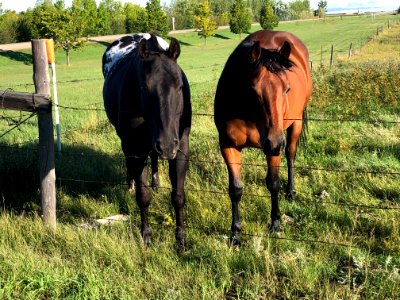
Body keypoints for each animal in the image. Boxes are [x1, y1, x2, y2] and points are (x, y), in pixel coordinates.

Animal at [216, 29, 312, 243]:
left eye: (287, 88)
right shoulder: (228, 145)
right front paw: (235, 233)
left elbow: (273, 183)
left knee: (291, 154)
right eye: (252, 90)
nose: (275, 143)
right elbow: (235, 189)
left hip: (295, 123)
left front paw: (275, 224)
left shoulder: (273, 147)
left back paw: (291, 192)